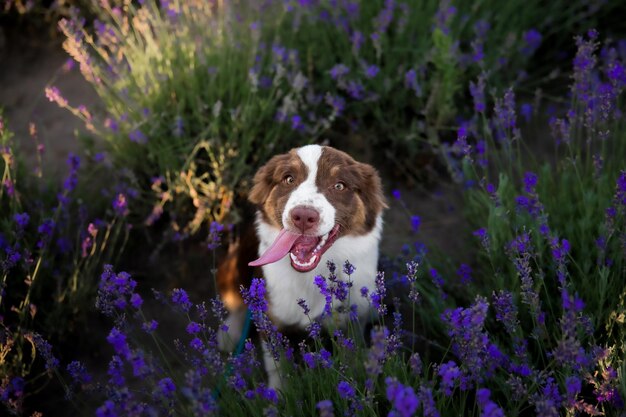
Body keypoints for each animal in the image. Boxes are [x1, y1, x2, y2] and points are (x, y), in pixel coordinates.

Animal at [219, 144, 386, 386]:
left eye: (339, 185)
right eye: (288, 179)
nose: (304, 216)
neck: (313, 274)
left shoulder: (354, 315)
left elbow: (351, 347)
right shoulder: (272, 320)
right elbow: (277, 365)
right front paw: (278, 392)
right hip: (229, 267)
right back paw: (229, 333)